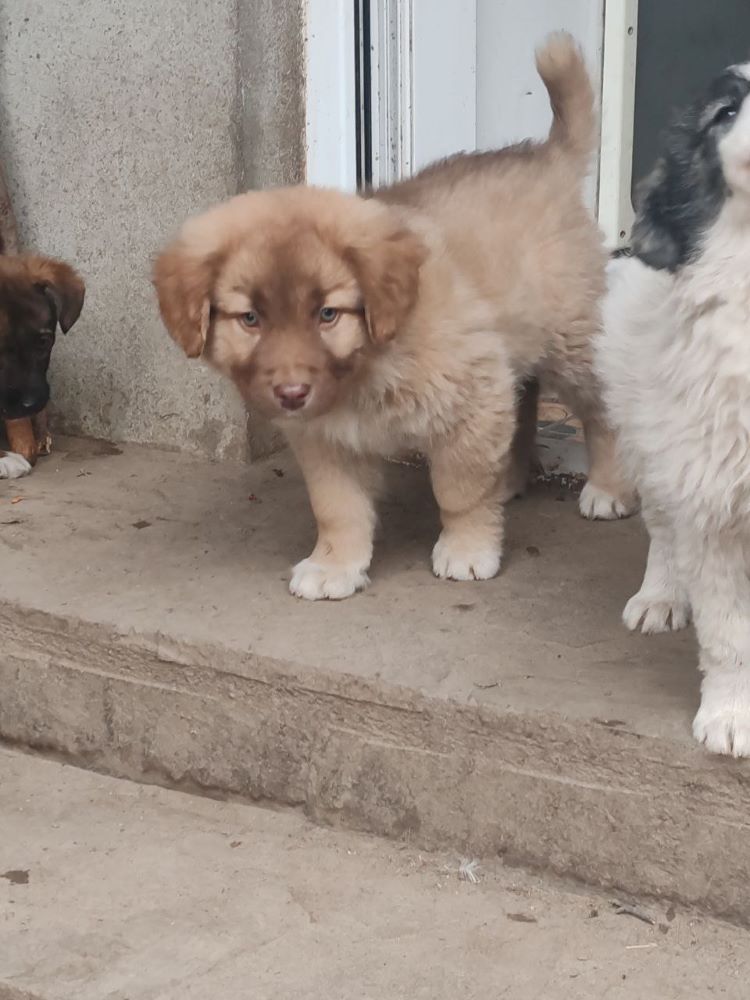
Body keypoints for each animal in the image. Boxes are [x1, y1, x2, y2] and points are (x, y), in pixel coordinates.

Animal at [156, 35, 636, 600]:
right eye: (250, 319)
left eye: (327, 313)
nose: (291, 394)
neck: (364, 367)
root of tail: (547, 157)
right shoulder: (325, 438)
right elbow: (337, 509)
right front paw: (335, 565)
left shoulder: (471, 395)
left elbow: (459, 491)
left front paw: (467, 549)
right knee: (526, 395)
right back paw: (511, 479)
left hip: (571, 338)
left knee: (601, 410)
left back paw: (607, 488)